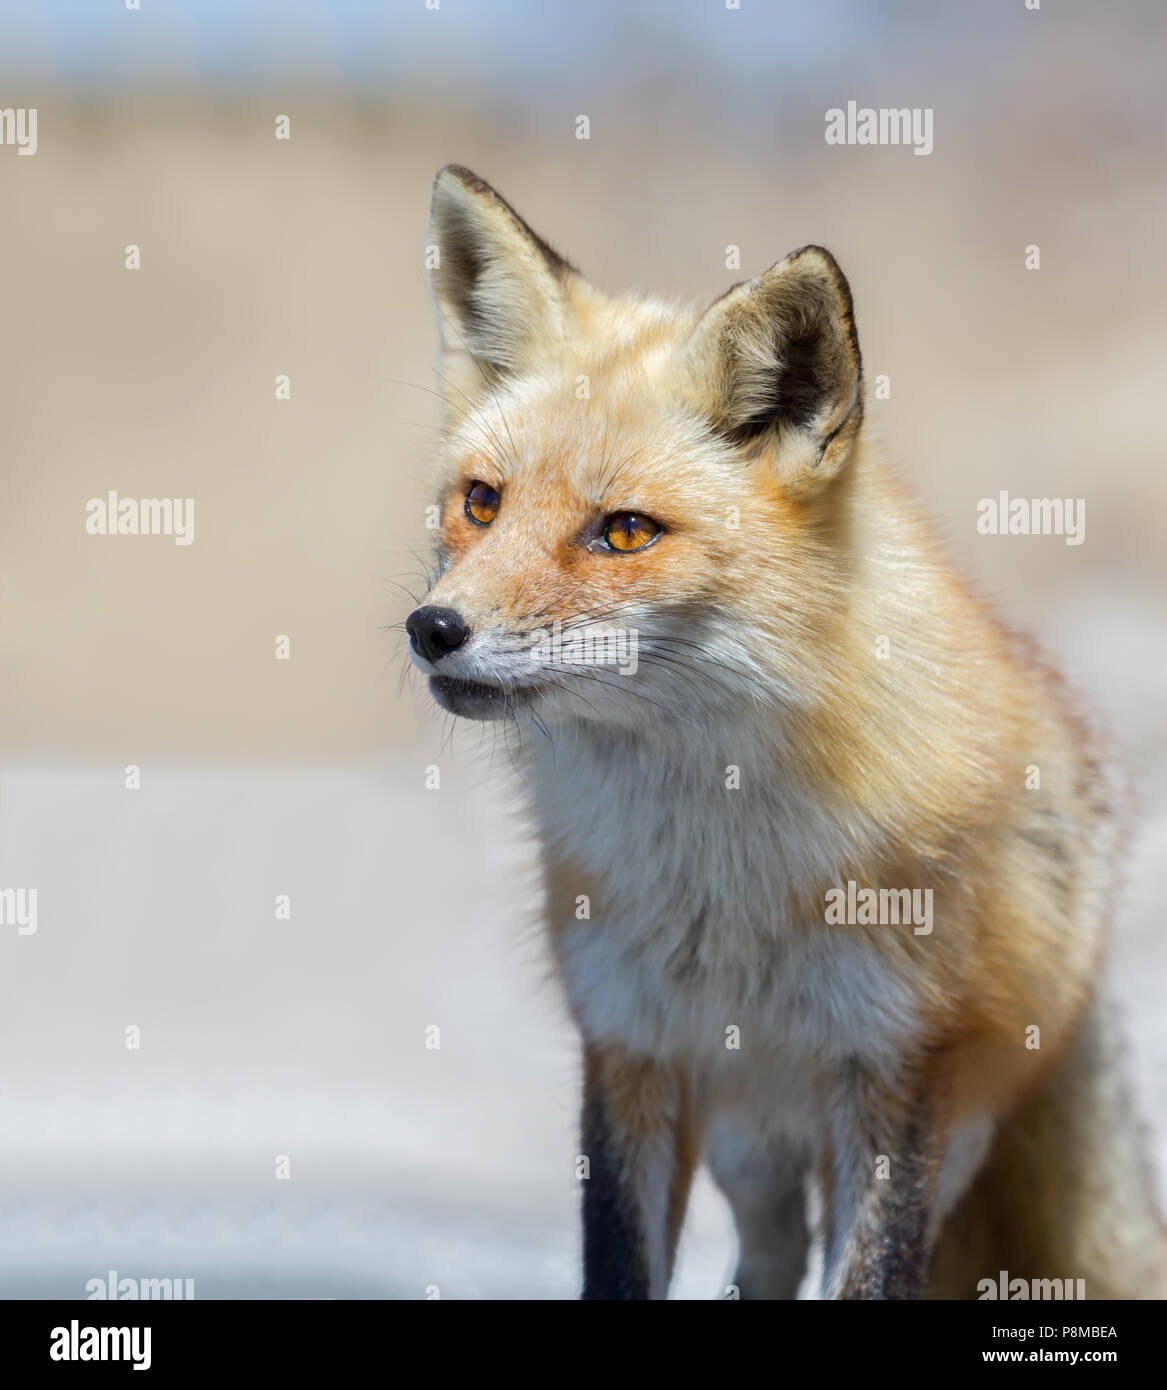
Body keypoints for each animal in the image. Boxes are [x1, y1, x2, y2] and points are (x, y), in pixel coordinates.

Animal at [405, 165, 1161, 1301]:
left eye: (624, 531)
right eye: (481, 503)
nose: (433, 629)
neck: (724, 875)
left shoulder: (899, 1071)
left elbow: (870, 1276)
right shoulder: (631, 1047)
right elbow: (618, 1264)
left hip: (957, 1130)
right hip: (750, 1144)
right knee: (767, 1257)